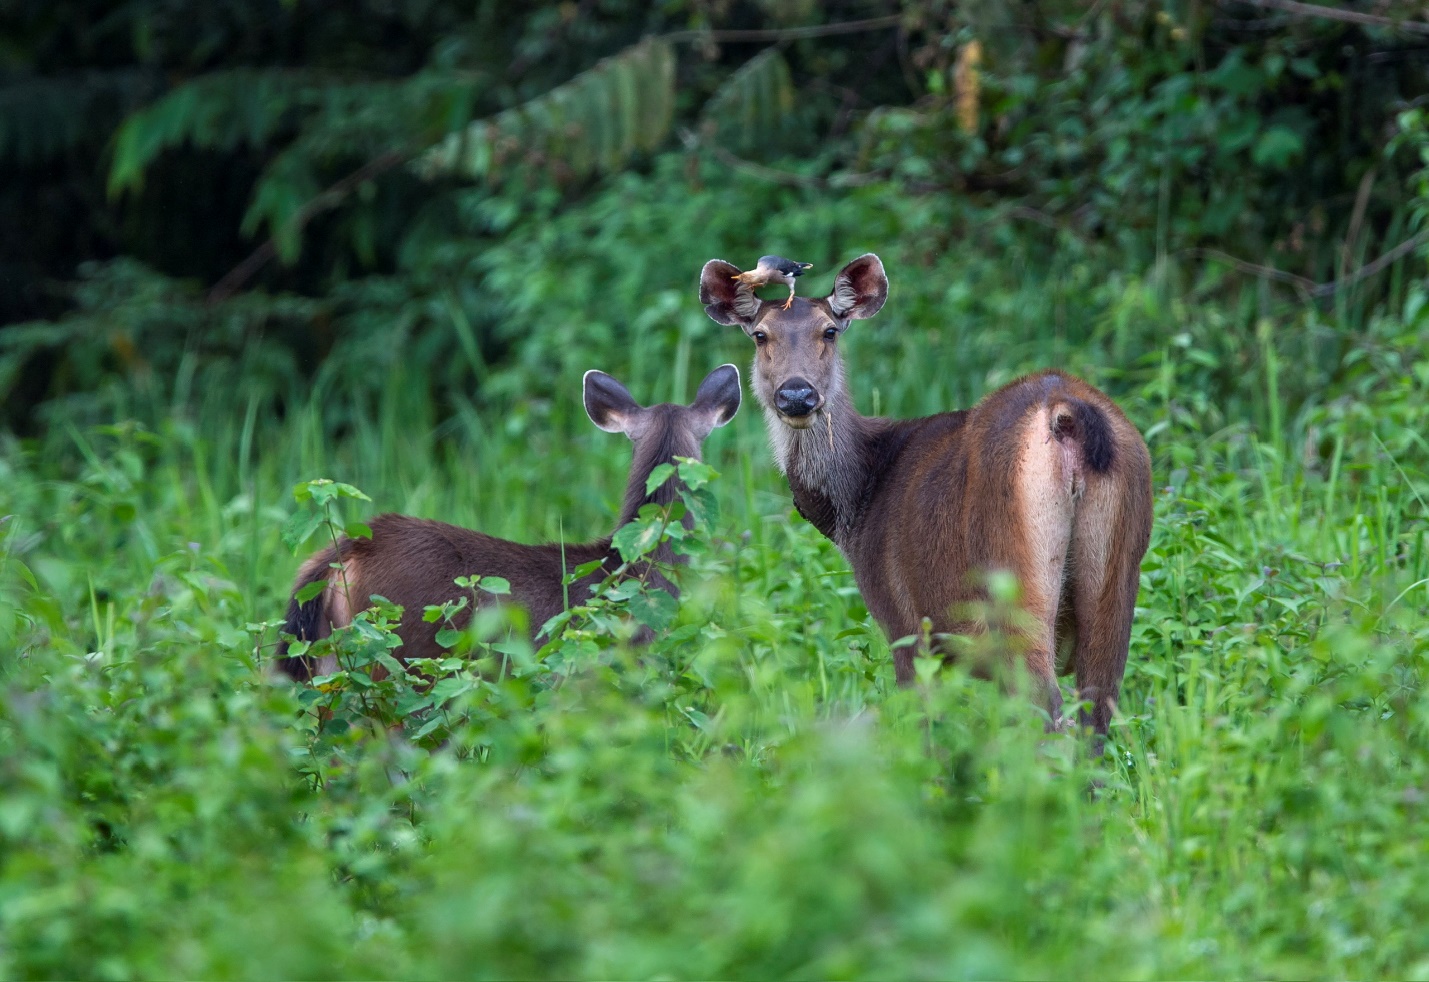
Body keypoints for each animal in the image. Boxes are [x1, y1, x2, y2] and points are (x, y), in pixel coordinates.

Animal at [697, 257, 1154, 743]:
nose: (797, 394)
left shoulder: (905, 623)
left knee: (1044, 707)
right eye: (761, 334)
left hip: (1012, 570)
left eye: (830, 331)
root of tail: (1065, 412)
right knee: (1096, 714)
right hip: (1117, 572)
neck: (858, 501)